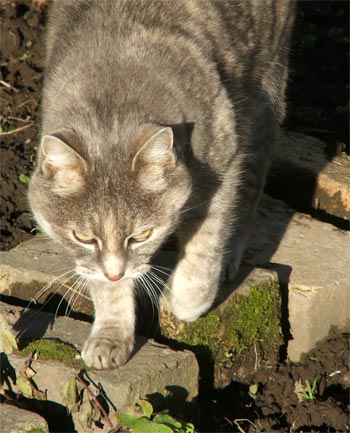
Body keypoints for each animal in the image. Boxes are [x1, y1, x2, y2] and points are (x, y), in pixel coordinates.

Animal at [28, 0, 296, 368]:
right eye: (83, 237)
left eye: (142, 235)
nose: (116, 273)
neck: (113, 102)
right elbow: (103, 285)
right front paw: (111, 335)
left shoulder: (223, 167)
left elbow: (204, 247)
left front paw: (187, 301)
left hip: (263, 96)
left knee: (251, 187)